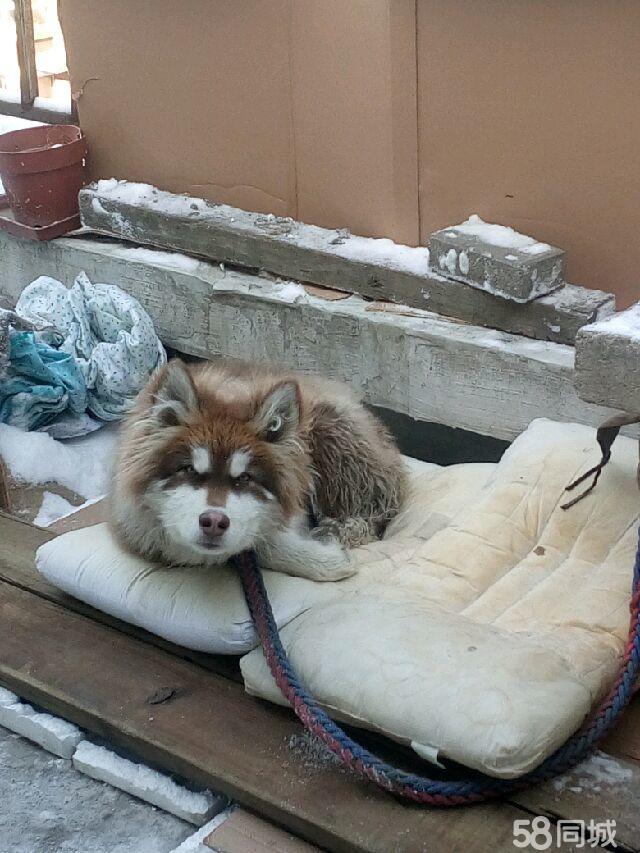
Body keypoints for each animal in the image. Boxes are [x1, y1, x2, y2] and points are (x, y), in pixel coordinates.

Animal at [110, 356, 408, 584]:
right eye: (189, 470)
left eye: (245, 478)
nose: (214, 522)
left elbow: (264, 542)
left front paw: (327, 559)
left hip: (331, 429)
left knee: (370, 518)